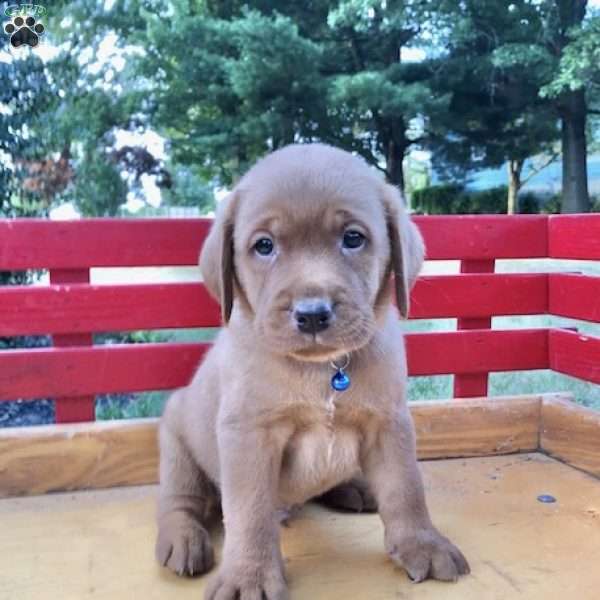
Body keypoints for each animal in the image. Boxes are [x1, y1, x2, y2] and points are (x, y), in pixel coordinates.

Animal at [157, 143, 472, 596]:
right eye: (264, 245)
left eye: (353, 238)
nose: (311, 314)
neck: (325, 369)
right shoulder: (248, 435)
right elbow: (250, 512)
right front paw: (249, 575)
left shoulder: (389, 422)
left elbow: (406, 488)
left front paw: (422, 544)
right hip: (176, 443)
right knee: (181, 501)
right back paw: (182, 537)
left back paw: (355, 486)